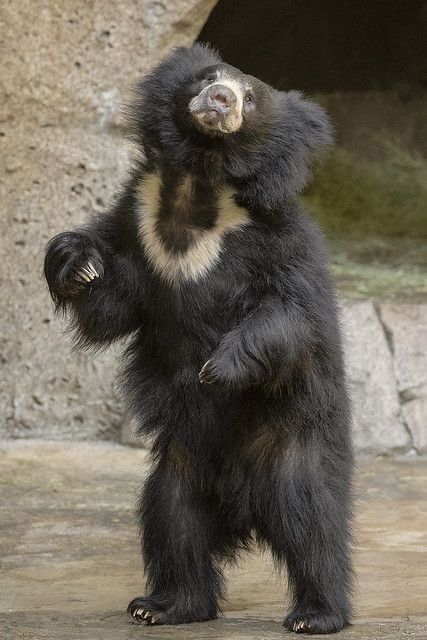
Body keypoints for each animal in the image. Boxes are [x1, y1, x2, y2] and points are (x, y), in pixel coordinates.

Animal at [45, 45, 354, 636]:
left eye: (250, 97)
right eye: (209, 77)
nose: (220, 99)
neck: (201, 182)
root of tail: (243, 508)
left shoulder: (275, 237)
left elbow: (289, 315)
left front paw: (218, 367)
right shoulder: (137, 219)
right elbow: (115, 302)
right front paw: (74, 261)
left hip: (290, 444)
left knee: (310, 521)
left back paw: (316, 614)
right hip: (184, 462)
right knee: (172, 519)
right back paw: (165, 605)